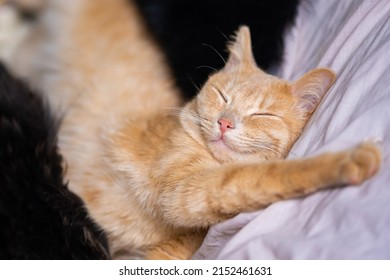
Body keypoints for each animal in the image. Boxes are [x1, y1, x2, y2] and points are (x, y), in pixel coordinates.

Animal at [5, 0, 380, 260]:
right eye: (222, 94)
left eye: (263, 114)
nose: (225, 122)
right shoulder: (186, 189)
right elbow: (267, 174)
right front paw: (350, 159)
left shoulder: (177, 236)